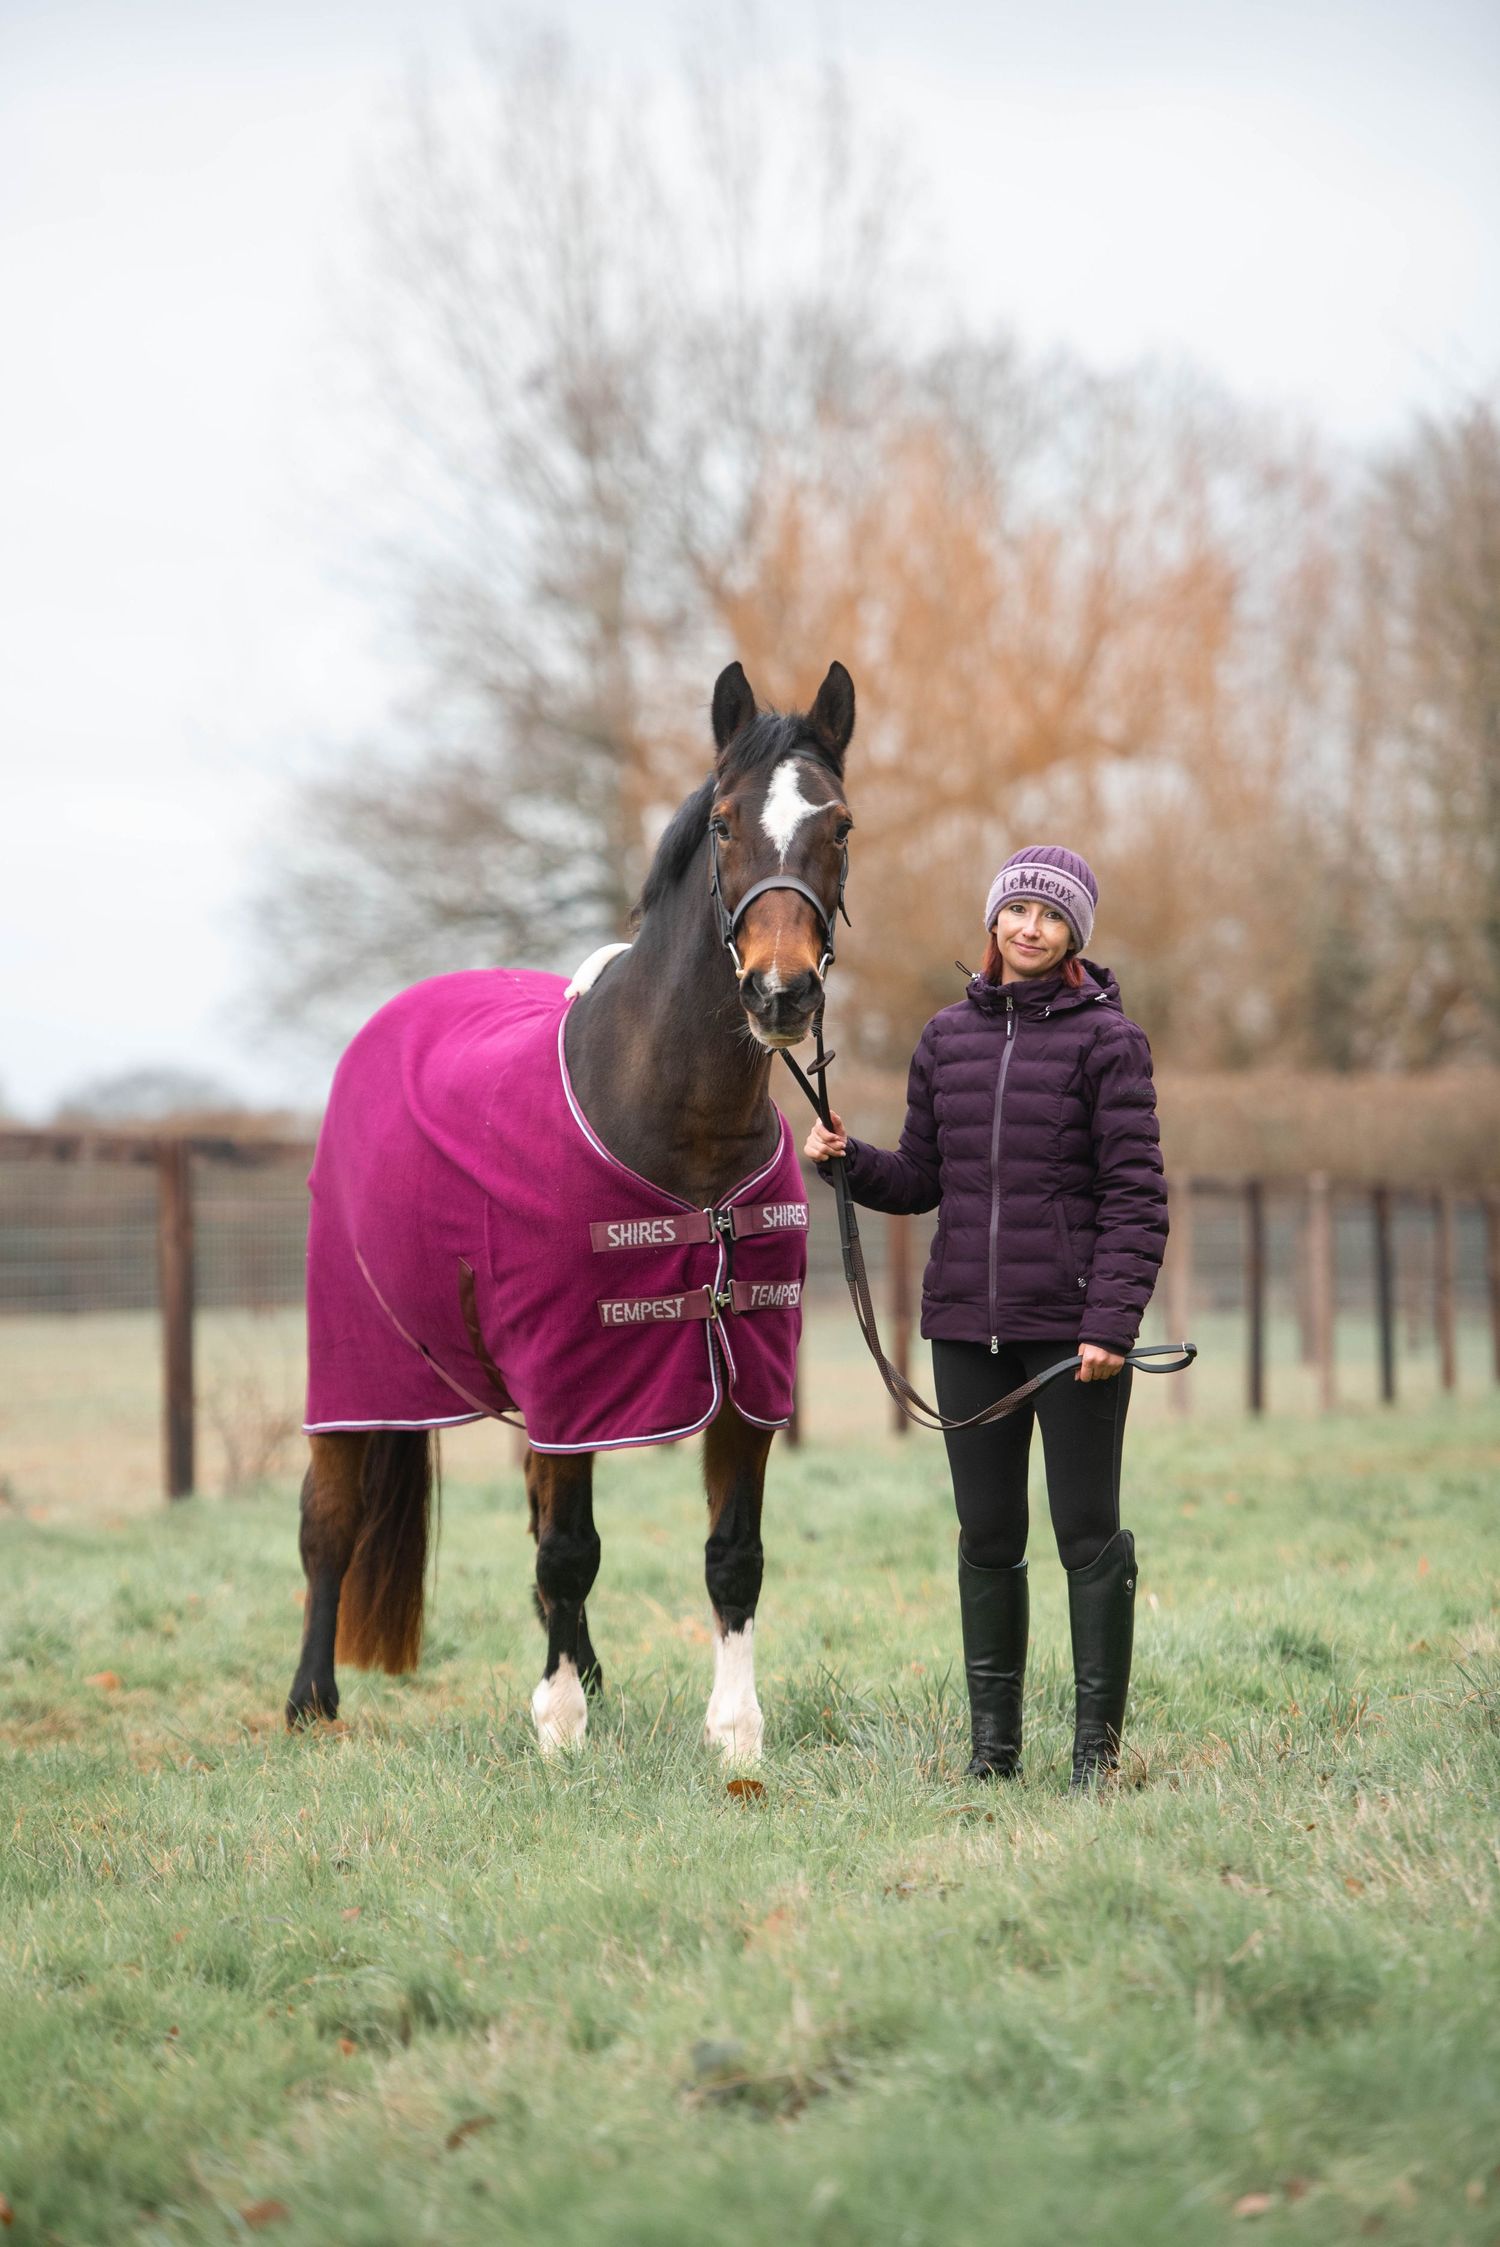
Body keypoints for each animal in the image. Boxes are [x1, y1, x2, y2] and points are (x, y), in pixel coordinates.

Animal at [286, 658, 857, 1762]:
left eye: (840, 824)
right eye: (723, 822)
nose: (781, 994)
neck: (674, 1126)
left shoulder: (741, 1377)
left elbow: (732, 1552)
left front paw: (735, 1735)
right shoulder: (571, 1371)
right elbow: (570, 1549)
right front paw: (559, 1728)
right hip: (356, 1368)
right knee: (329, 1520)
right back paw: (310, 1702)